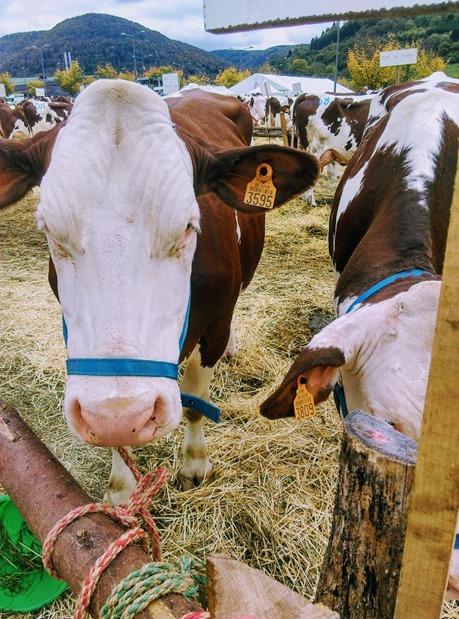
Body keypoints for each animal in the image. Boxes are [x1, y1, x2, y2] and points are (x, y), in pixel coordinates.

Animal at [0, 77, 320, 504]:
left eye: (188, 225)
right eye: (48, 228)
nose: (121, 412)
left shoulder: (214, 325)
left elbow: (196, 402)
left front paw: (195, 465)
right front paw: (121, 490)